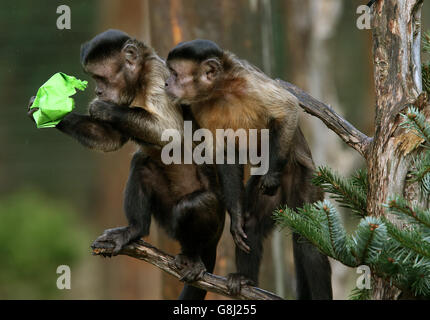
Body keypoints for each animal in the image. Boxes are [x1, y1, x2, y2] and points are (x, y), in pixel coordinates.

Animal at [165, 40, 332, 300]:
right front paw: (236, 217)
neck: (221, 91)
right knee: (253, 222)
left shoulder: (249, 80)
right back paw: (245, 279)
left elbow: (289, 109)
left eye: (174, 73)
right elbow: (225, 153)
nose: (166, 83)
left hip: (305, 178)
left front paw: (271, 176)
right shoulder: (197, 106)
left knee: (309, 242)